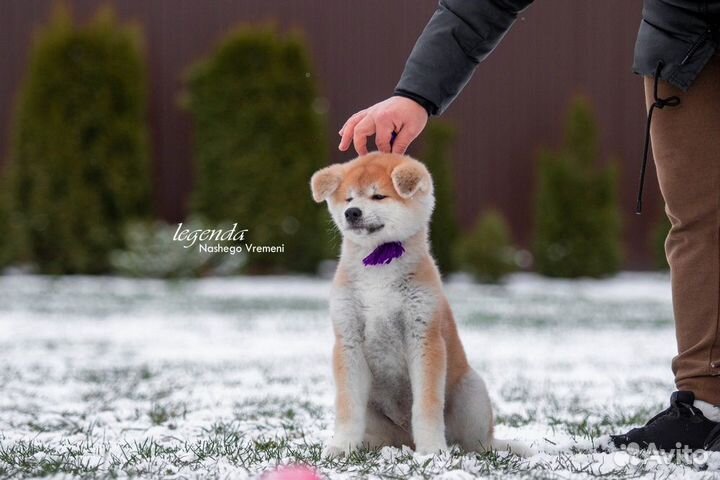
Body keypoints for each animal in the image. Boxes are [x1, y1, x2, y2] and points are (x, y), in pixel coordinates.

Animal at [310, 154, 528, 458]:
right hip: (377, 418)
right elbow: (347, 407)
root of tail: (405, 440)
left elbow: (426, 405)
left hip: (471, 393)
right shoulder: (347, 339)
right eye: (349, 198)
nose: (352, 212)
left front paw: (432, 450)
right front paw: (341, 447)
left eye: (378, 196)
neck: (379, 268)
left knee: (476, 442)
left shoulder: (424, 335)